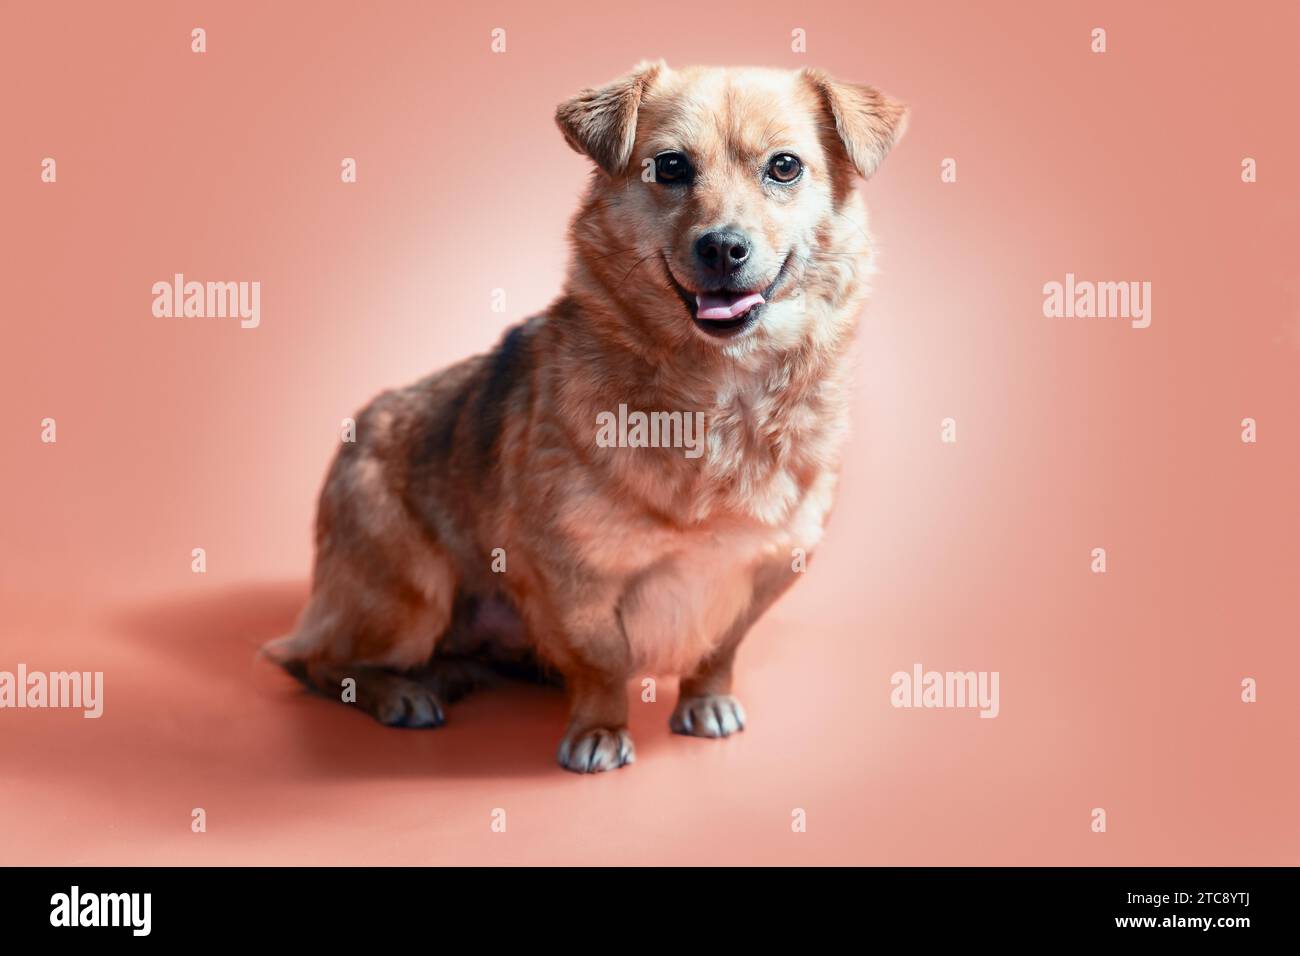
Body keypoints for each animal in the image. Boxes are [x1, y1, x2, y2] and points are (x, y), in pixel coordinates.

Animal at [263, 63, 904, 775]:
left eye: (784, 167)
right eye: (671, 167)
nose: (722, 247)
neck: (717, 396)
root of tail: (359, 427)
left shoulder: (768, 567)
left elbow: (720, 647)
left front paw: (705, 698)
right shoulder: (570, 573)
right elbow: (602, 659)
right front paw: (599, 728)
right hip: (409, 594)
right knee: (310, 661)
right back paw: (401, 691)